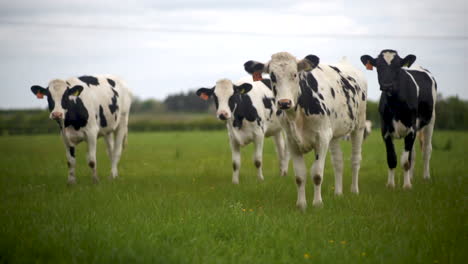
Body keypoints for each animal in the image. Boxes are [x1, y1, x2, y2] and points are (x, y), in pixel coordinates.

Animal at [243, 52, 368, 210]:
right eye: (272, 76)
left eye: (295, 74)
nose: (284, 103)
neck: (297, 115)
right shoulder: (292, 141)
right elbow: (300, 176)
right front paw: (301, 205)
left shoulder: (322, 139)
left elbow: (317, 174)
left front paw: (317, 204)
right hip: (334, 133)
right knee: (338, 161)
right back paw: (338, 193)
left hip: (359, 126)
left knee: (355, 159)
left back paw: (354, 190)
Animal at [360, 49, 436, 189]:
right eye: (379, 66)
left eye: (397, 67)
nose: (387, 85)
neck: (395, 104)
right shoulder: (385, 131)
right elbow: (392, 159)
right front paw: (390, 185)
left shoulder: (411, 129)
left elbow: (405, 161)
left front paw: (406, 186)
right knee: (413, 154)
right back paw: (411, 177)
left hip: (430, 120)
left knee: (426, 150)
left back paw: (426, 177)